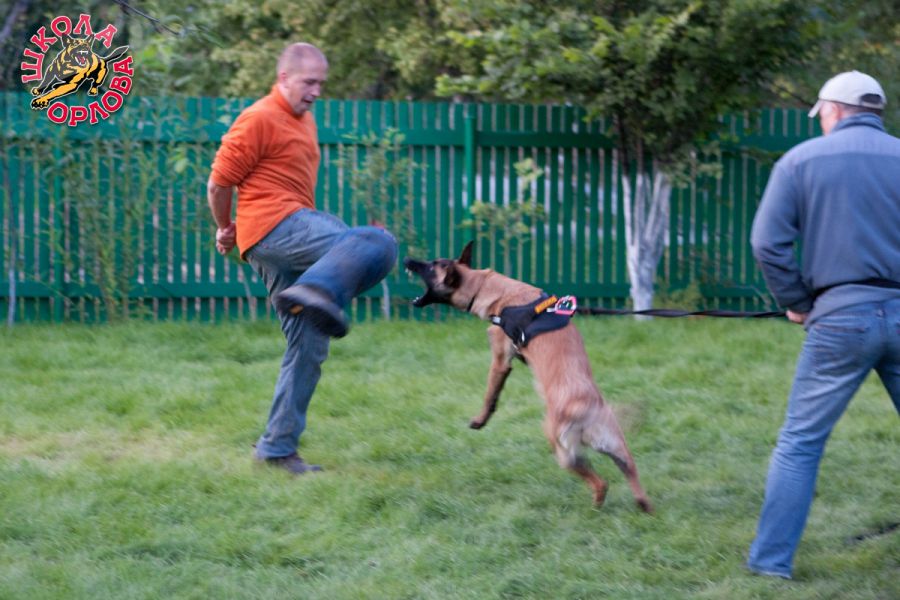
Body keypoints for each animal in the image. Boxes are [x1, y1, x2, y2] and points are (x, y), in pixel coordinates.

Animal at [404, 242, 652, 512]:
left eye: (430, 266)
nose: (406, 260)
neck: (486, 286)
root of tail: (586, 408)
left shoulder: (500, 359)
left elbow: (490, 394)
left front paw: (479, 420)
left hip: (562, 449)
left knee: (600, 482)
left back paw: (597, 504)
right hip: (614, 447)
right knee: (630, 470)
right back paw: (643, 505)